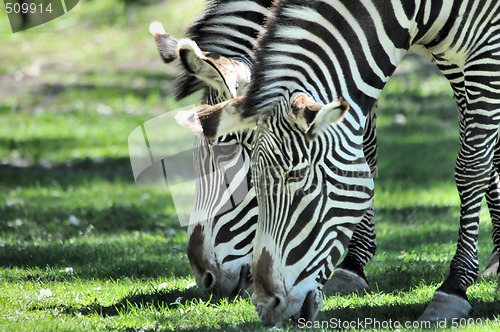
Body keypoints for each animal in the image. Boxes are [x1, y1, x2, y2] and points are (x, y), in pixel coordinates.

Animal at [179, 0, 500, 326]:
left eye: (231, 152)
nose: (205, 278)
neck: (414, 12)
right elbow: (367, 153)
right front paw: (353, 266)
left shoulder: (483, 49)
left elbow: (473, 166)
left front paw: (455, 287)